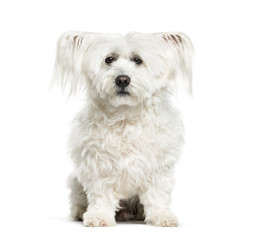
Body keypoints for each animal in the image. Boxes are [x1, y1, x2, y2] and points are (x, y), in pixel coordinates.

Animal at [53, 31, 192, 227]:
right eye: (109, 59)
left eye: (138, 60)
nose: (122, 79)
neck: (125, 115)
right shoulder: (97, 164)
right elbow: (101, 195)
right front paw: (99, 216)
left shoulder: (158, 166)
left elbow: (157, 195)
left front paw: (161, 216)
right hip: (76, 180)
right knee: (78, 198)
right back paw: (81, 212)